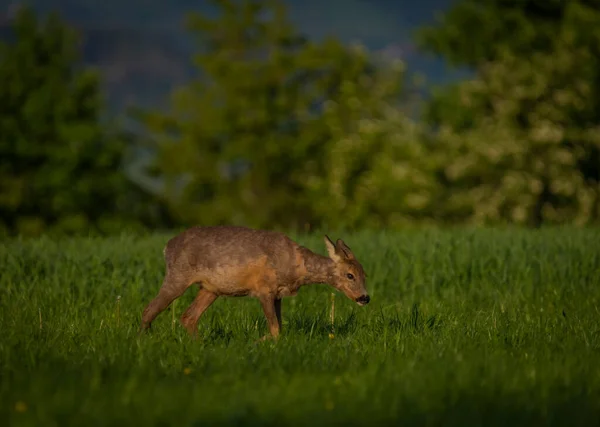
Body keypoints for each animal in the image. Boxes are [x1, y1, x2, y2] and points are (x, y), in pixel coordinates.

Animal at [139, 227, 370, 342]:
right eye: (350, 275)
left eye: (364, 274)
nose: (365, 297)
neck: (296, 266)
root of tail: (167, 247)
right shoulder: (263, 289)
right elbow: (275, 329)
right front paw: (256, 343)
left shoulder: (278, 294)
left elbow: (279, 328)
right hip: (177, 276)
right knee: (149, 309)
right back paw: (144, 340)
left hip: (210, 289)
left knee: (188, 316)